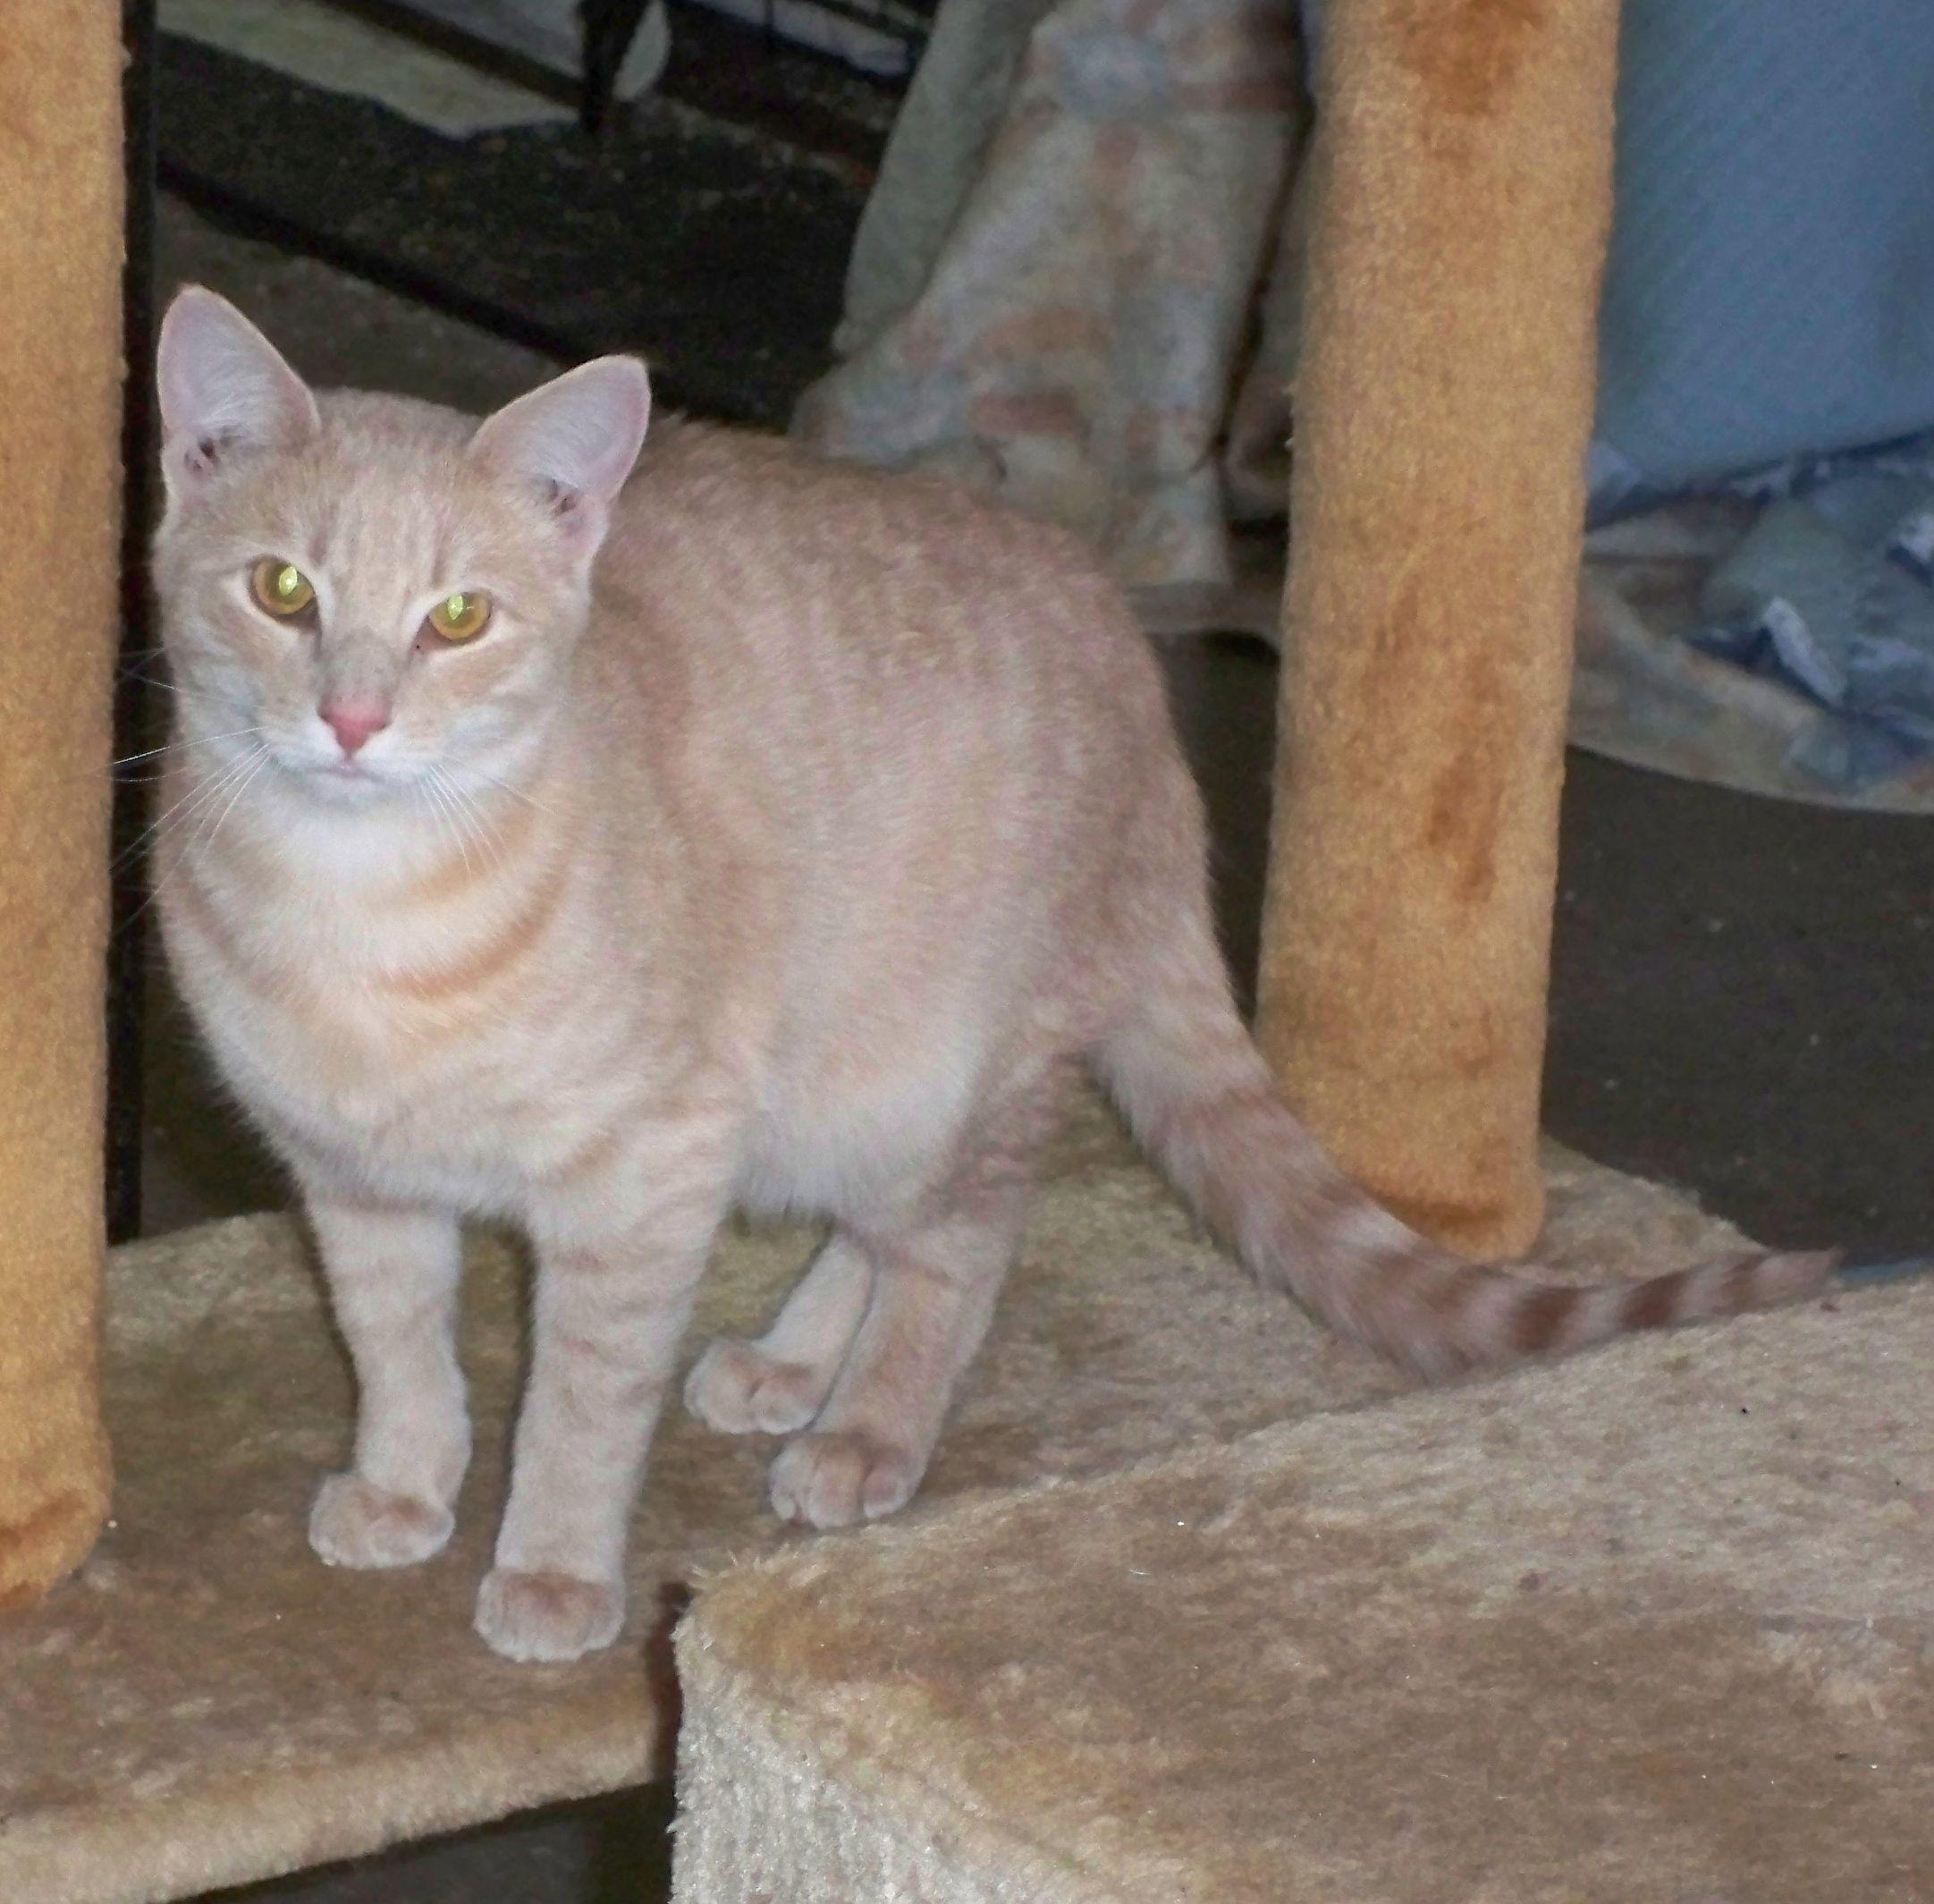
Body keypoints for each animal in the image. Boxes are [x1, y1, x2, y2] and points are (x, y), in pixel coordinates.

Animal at [150, 286, 1825, 1663]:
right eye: (284, 590)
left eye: (458, 616)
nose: (353, 719)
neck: (366, 911)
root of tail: (1136, 677)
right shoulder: (356, 1182)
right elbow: (397, 1351)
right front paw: (402, 1485)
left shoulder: (641, 1176)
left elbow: (577, 1403)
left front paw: (553, 1569)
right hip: (841, 1097)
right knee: (876, 1235)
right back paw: (788, 1362)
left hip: (949, 1070)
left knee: (955, 1256)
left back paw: (865, 1429)